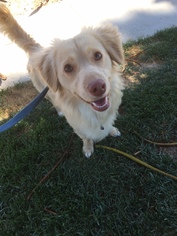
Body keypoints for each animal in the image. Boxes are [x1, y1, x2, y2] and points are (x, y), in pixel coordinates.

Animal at [0, 3, 124, 157]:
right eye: (68, 68)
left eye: (98, 55)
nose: (98, 87)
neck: (94, 112)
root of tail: (36, 49)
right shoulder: (77, 125)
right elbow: (86, 137)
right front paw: (88, 148)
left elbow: (109, 123)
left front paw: (112, 130)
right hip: (44, 91)